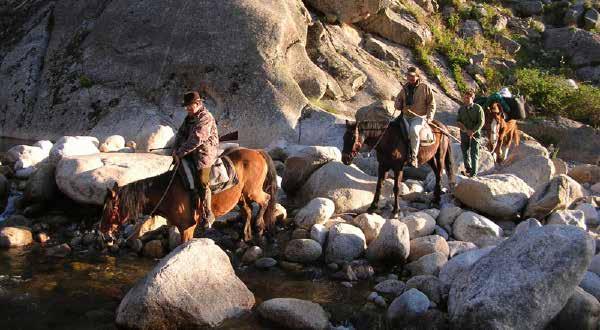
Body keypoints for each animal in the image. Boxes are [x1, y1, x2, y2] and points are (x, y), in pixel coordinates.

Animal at [99, 148, 278, 244]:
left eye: (111, 209)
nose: (103, 235)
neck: (167, 192)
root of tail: (257, 152)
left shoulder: (186, 227)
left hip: (253, 191)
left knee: (266, 200)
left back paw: (259, 227)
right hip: (241, 197)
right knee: (247, 211)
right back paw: (246, 235)